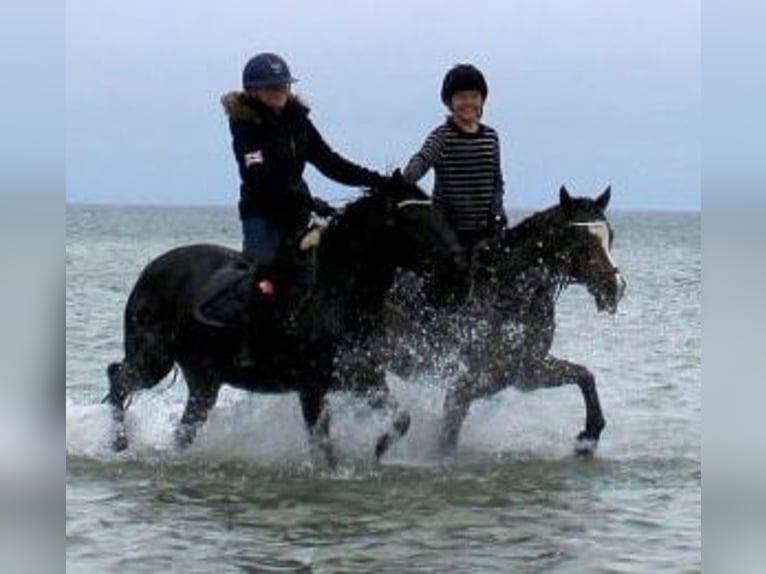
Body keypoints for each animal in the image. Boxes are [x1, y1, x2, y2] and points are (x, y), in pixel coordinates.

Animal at [104, 176, 464, 468]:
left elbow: (402, 419)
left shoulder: (364, 377)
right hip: (154, 358)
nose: (457, 257)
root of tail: (152, 269)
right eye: (412, 218)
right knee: (119, 378)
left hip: (204, 379)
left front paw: (378, 449)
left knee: (183, 427)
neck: (336, 295)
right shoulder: (312, 385)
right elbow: (322, 444)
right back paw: (119, 443)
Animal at [390, 187, 632, 456]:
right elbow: (449, 433)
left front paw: (589, 437)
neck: (512, 293)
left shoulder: (527, 369)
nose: (615, 288)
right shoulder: (470, 384)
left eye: (610, 236)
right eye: (579, 241)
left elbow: (585, 376)